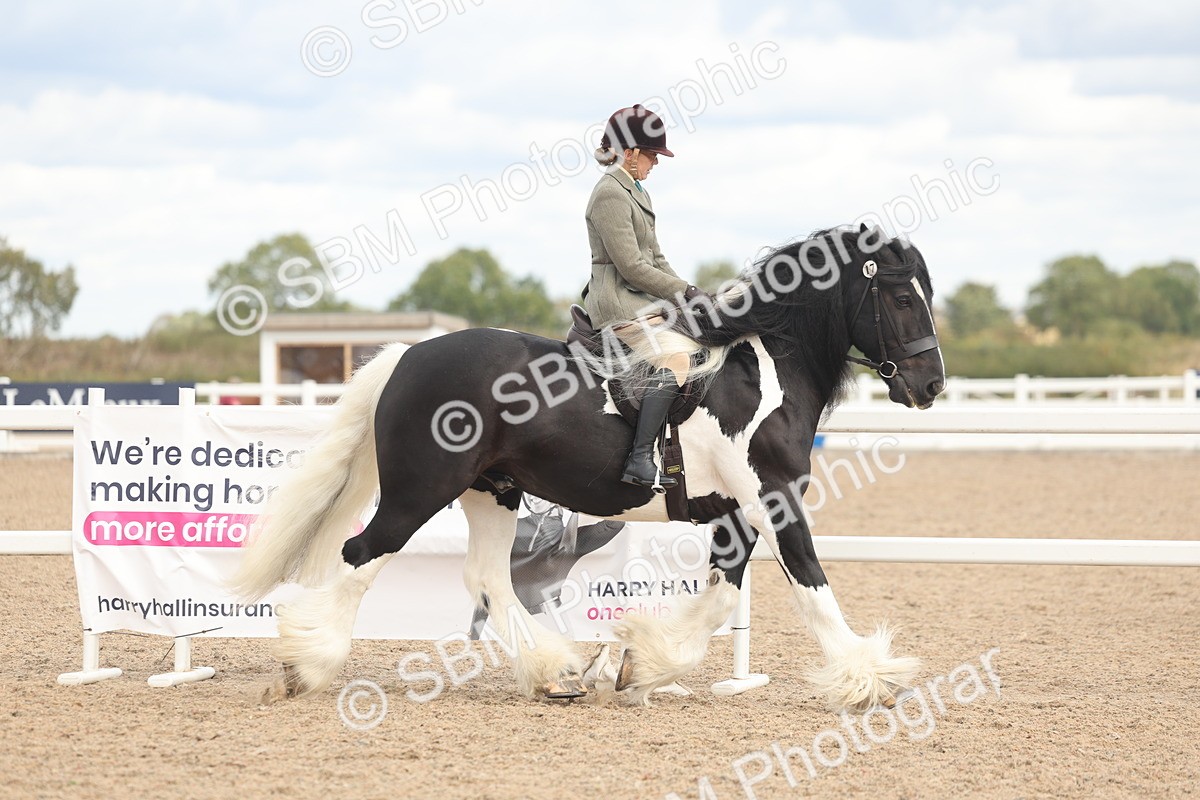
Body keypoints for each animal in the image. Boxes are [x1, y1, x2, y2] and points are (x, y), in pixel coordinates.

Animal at [233, 223, 945, 711]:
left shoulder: (734, 515)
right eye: (901, 297)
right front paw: (870, 677)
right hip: (420, 490)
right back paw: (306, 666)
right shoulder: (772, 501)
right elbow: (813, 587)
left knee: (487, 578)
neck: (761, 373)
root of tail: (408, 356)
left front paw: (640, 666)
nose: (930, 385)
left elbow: (720, 599)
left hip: (492, 491)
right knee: (362, 554)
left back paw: (558, 674)